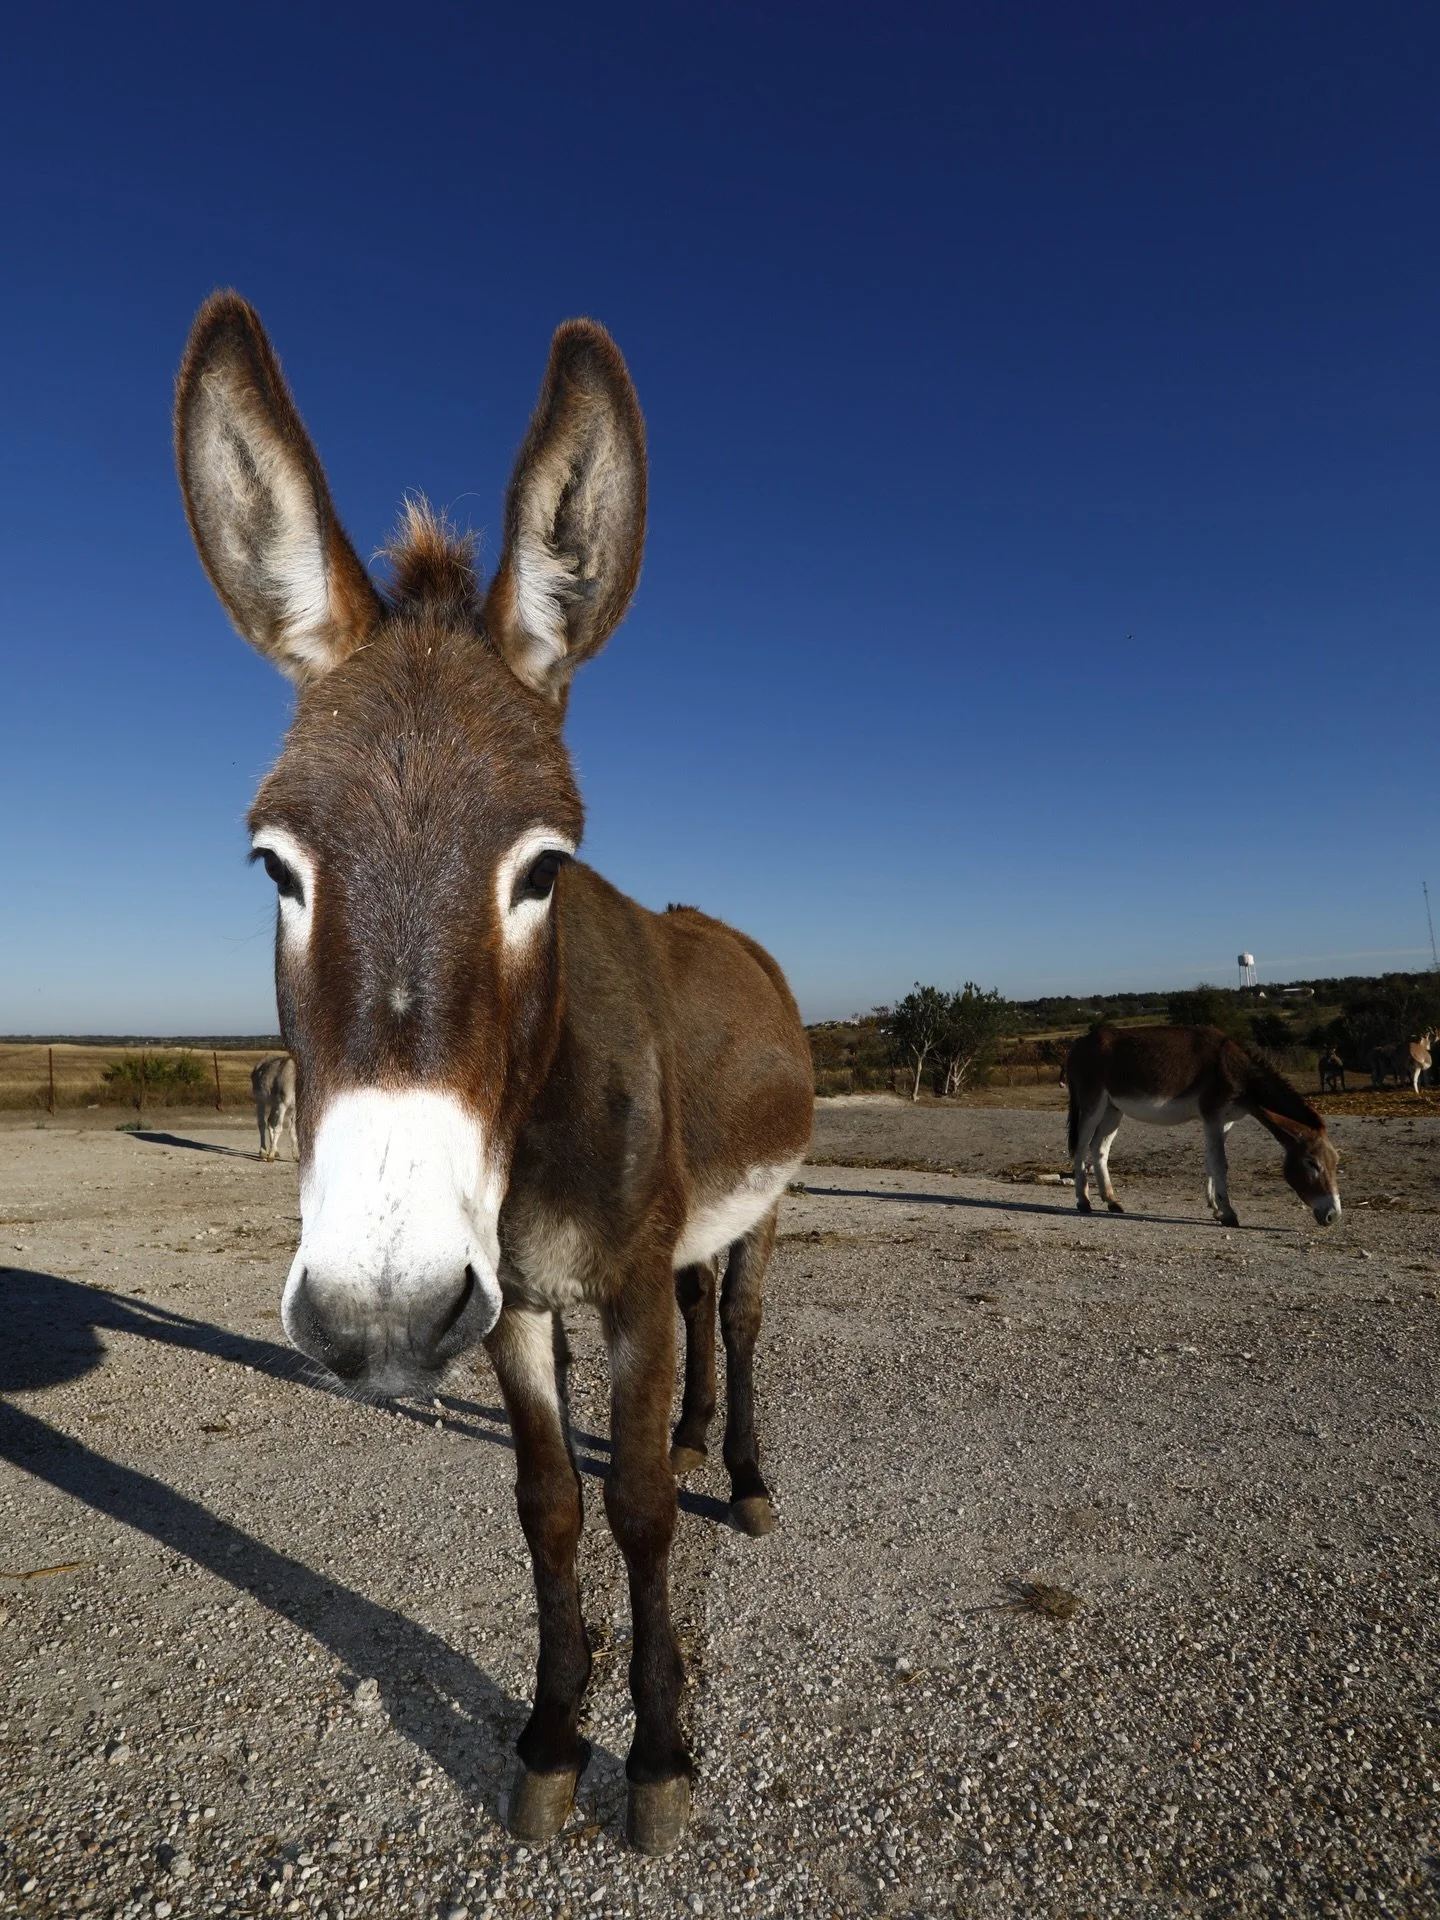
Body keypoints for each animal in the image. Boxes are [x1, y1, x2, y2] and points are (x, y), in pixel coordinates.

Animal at [174, 293, 813, 1854]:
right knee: (707, 1321)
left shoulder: (622, 1282)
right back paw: (702, 1439)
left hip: (762, 1208)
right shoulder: (517, 1296)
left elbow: (635, 1507)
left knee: (739, 1318)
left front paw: (658, 1757)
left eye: (545, 871)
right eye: (274, 868)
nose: (380, 1323)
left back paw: (743, 1473)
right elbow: (548, 1508)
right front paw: (550, 1736)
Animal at [1065, 1026, 1341, 1228]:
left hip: (1113, 1109)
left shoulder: (1225, 1120)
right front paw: (1228, 1213)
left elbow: (1210, 1161)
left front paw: (1216, 1208)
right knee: (1081, 1147)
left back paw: (1111, 1201)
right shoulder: (1212, 1116)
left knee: (1099, 1148)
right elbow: (1220, 1163)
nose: (1334, 1216)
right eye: (1312, 1163)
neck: (1238, 1070)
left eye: (1335, 1163)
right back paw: (1083, 1201)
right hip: (1092, 1102)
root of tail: (1079, 1043)